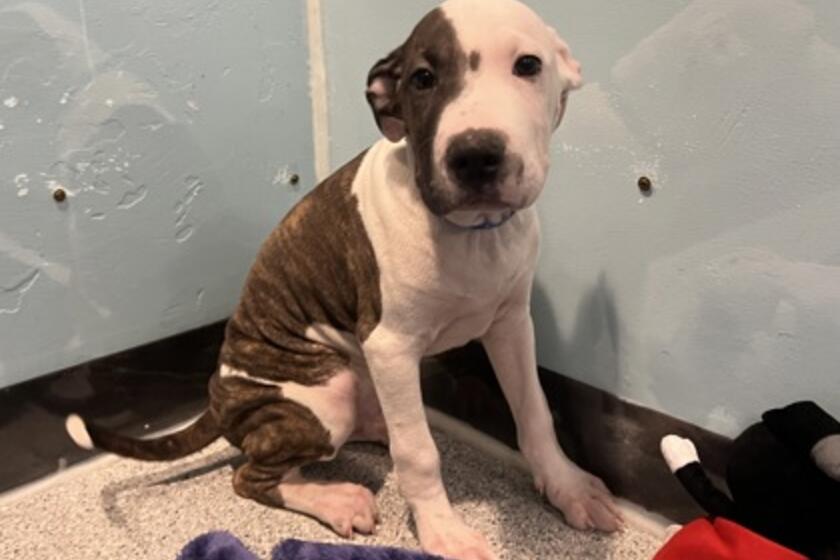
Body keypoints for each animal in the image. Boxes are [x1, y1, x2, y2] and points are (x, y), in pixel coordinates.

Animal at [66, 1, 622, 558]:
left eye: (528, 65)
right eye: (422, 78)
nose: (475, 155)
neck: (469, 233)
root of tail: (217, 396)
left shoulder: (510, 324)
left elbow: (535, 413)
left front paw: (568, 489)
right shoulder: (390, 346)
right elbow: (420, 454)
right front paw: (443, 530)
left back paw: (376, 431)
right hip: (325, 391)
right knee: (255, 476)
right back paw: (338, 499)